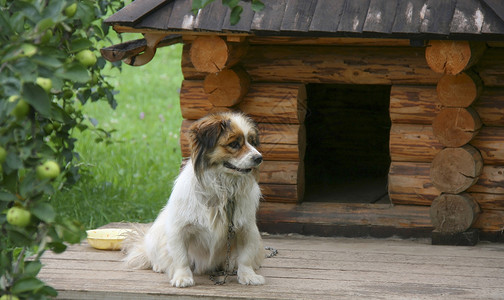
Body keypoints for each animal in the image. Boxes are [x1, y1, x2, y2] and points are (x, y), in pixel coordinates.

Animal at [123, 111, 264, 288]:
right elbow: (180, 257)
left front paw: (248, 276)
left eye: (252, 142)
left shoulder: (247, 229)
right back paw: (159, 265)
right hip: (157, 234)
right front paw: (182, 277)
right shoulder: (178, 229)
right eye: (234, 144)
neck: (222, 188)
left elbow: (245, 257)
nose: (259, 158)